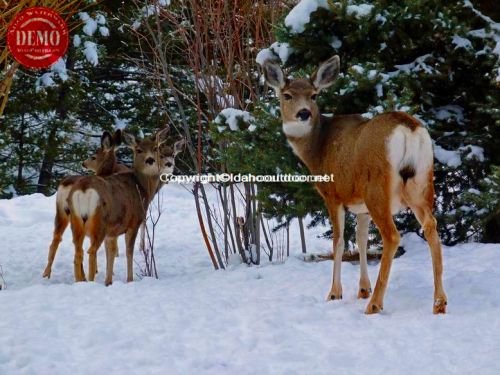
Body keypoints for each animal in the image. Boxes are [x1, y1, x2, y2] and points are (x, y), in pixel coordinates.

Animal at [42, 131, 128, 280]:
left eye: (93, 156)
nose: (83, 163)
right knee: (86, 249)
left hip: (63, 213)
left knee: (58, 240)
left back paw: (47, 274)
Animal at [264, 55, 448, 314]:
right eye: (287, 95)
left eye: (314, 95)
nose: (303, 113)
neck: (318, 149)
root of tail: (409, 129)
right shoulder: (360, 206)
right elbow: (361, 240)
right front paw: (362, 289)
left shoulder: (333, 195)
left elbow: (339, 242)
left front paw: (335, 293)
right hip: (422, 181)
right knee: (431, 226)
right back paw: (439, 302)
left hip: (377, 188)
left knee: (392, 236)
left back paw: (375, 304)